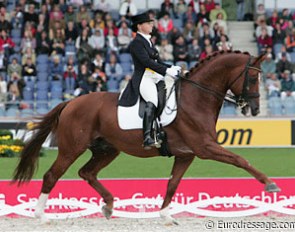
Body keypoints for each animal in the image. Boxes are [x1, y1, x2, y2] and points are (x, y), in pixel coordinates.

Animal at [12, 50, 280, 223]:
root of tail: (70, 102)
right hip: (72, 148)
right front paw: (270, 183)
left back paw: (109, 205)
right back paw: (41, 216)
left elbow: (172, 184)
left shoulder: (187, 155)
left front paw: (165, 215)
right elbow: (240, 159)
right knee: (52, 175)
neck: (196, 99)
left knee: (87, 172)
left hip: (107, 149)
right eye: (253, 77)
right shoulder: (204, 147)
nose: (254, 109)